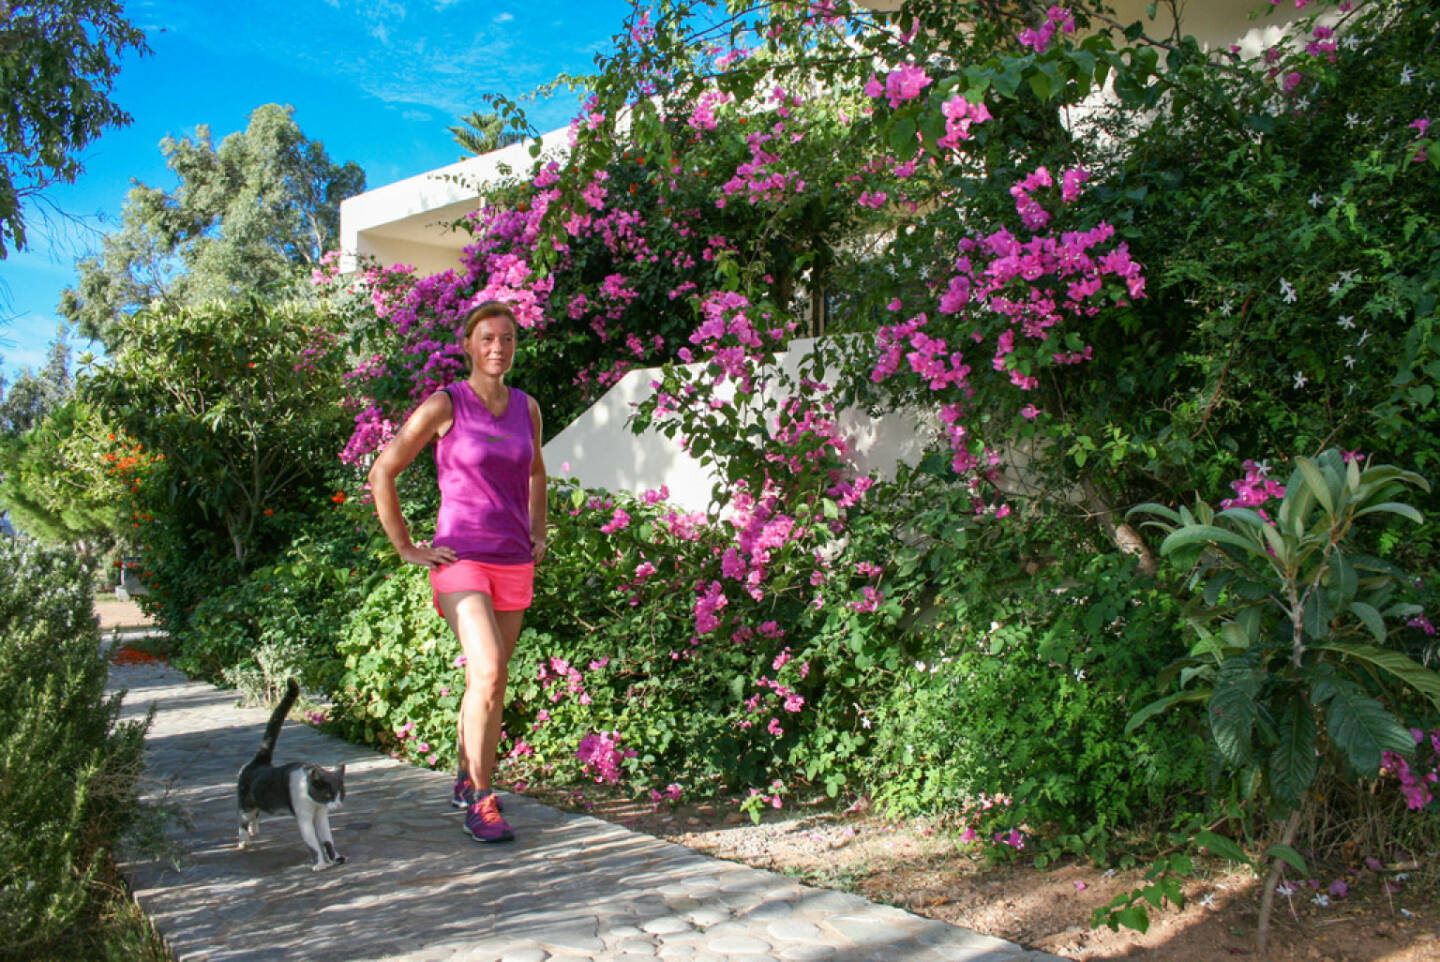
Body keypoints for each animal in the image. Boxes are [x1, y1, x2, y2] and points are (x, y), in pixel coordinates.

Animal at [239, 676, 348, 869]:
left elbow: (327, 838)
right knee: (243, 819)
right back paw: (243, 840)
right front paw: (320, 864)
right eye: (328, 794)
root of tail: (260, 762)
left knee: (255, 815)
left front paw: (335, 857)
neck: (313, 801)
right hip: (247, 803)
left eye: (340, 794)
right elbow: (313, 842)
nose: (338, 806)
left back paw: (254, 830)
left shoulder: (321, 814)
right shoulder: (303, 816)